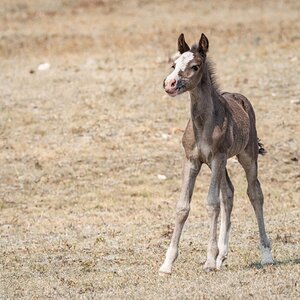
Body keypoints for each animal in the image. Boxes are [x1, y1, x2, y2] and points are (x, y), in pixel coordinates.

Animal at [159, 32, 274, 274]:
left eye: (194, 66)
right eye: (174, 65)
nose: (169, 84)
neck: (203, 124)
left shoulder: (218, 157)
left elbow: (212, 204)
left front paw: (209, 261)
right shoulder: (192, 160)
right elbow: (183, 207)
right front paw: (167, 263)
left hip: (245, 156)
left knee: (255, 193)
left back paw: (266, 255)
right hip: (219, 165)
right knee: (228, 193)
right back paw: (222, 255)